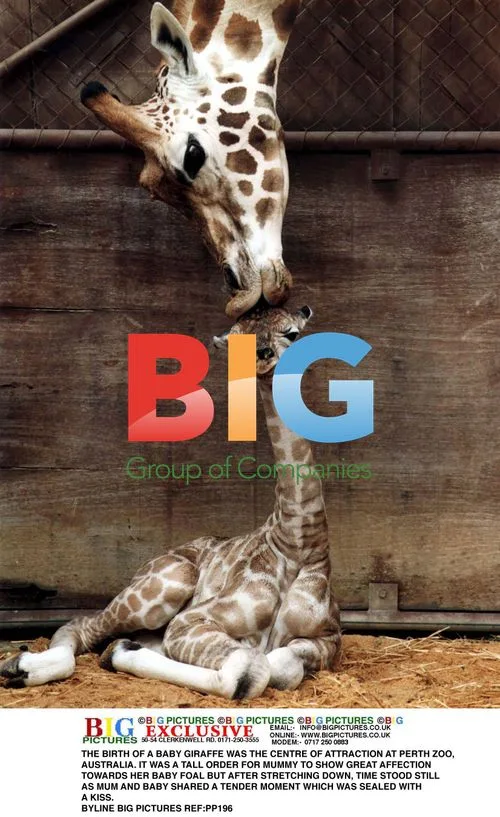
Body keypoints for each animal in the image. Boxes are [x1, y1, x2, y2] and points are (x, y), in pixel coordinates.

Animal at [0, 305, 341, 699]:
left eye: (292, 333)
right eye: (237, 341)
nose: (264, 356)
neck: (298, 541)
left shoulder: (330, 639)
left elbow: (281, 665)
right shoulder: (190, 620)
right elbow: (250, 669)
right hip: (168, 583)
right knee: (80, 625)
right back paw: (20, 666)